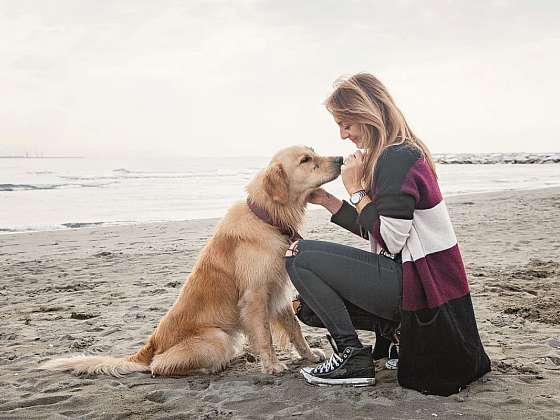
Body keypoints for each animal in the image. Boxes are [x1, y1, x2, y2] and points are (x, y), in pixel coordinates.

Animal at [40, 146, 342, 376]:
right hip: (217, 337)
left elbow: (295, 330)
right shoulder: (256, 295)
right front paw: (272, 366)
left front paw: (309, 355)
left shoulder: (277, 291)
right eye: (306, 160)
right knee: (158, 367)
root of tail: (151, 345)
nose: (340, 158)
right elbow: (265, 337)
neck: (267, 217)